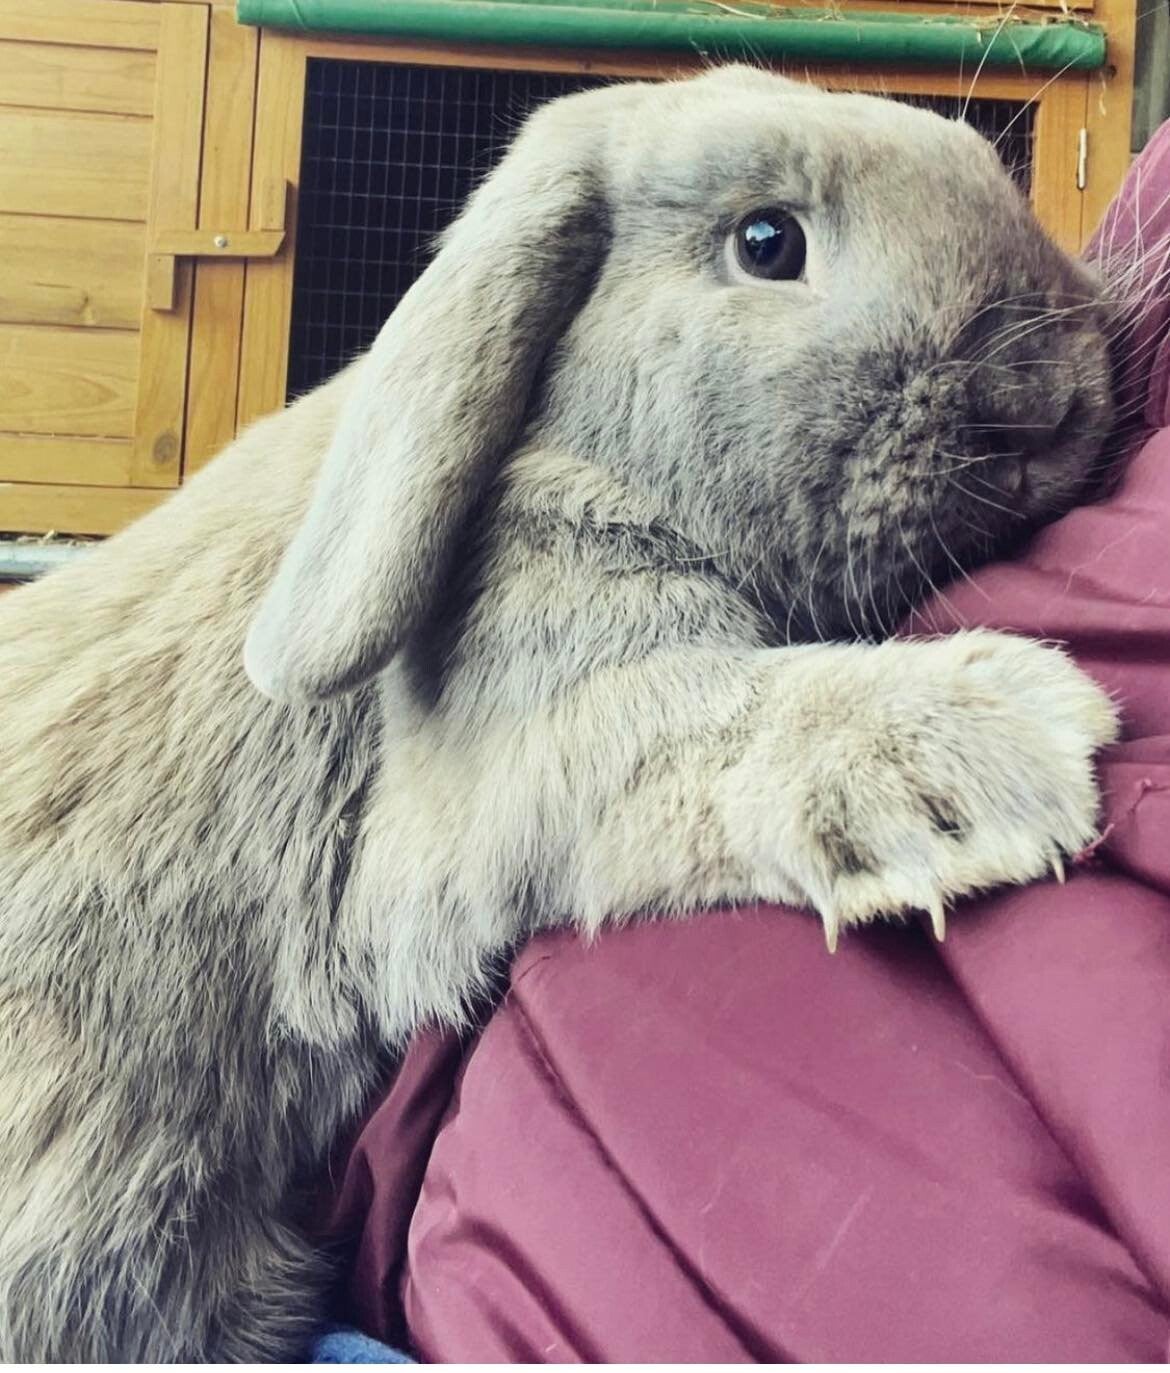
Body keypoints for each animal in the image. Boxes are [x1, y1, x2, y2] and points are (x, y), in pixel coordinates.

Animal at [0, 65, 1120, 1360]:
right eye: (767, 242)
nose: (1047, 404)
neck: (576, 448)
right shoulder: (534, 732)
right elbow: (724, 716)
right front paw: (998, 743)